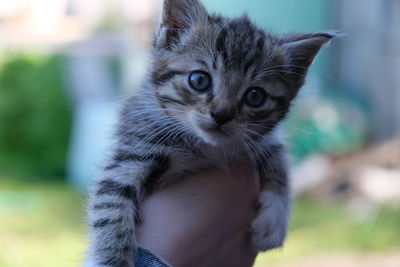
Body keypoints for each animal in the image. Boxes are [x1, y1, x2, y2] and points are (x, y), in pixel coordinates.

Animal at [87, 0, 334, 266]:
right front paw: (113, 260)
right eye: (199, 80)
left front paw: (274, 222)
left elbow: (278, 158)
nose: (221, 115)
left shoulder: (264, 139)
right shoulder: (135, 149)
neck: (205, 147)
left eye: (255, 96)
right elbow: (111, 206)